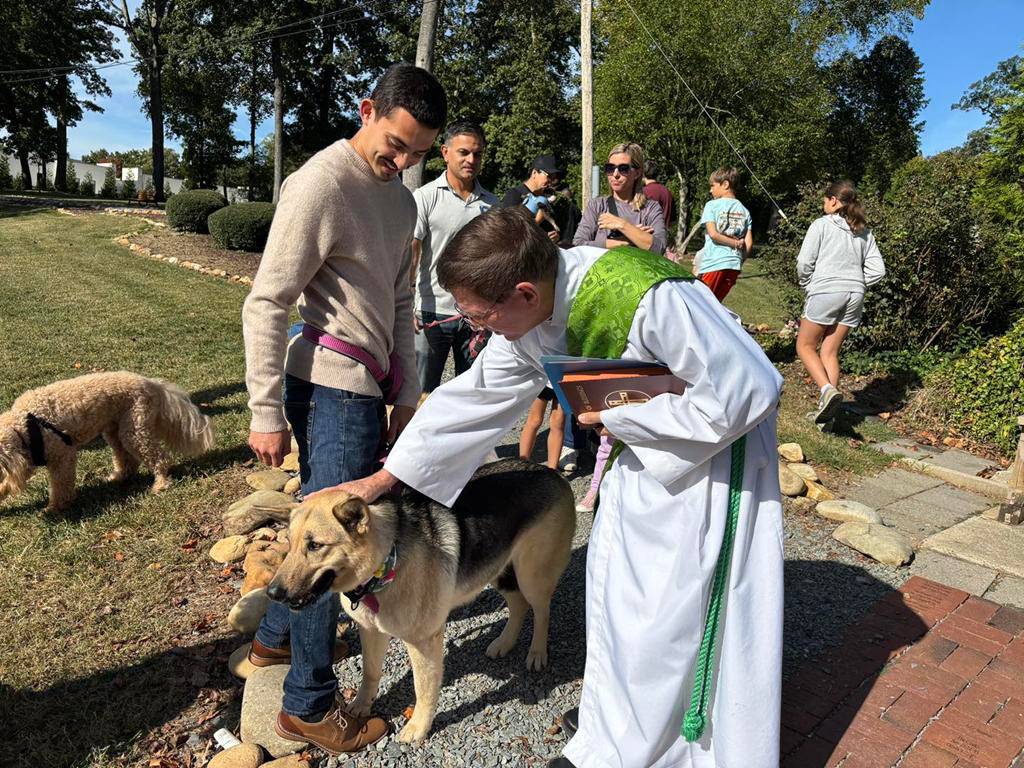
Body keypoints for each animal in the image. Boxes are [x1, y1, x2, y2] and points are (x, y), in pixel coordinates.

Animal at [0, 371, 214, 513]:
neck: (25, 424)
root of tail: (151, 383)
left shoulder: (63, 456)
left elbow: (61, 486)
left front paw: (55, 507)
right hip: (115, 431)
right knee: (127, 460)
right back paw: (118, 477)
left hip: (134, 431)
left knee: (159, 458)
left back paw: (160, 483)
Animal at [268, 457, 576, 743]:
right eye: (289, 543)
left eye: (315, 545)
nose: (273, 594)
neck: (386, 558)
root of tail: (550, 472)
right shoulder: (371, 632)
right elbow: (370, 672)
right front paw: (362, 705)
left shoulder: (424, 642)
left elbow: (423, 689)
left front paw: (418, 727)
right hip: (496, 570)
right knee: (519, 604)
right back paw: (504, 642)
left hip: (531, 575)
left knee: (541, 610)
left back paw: (537, 652)